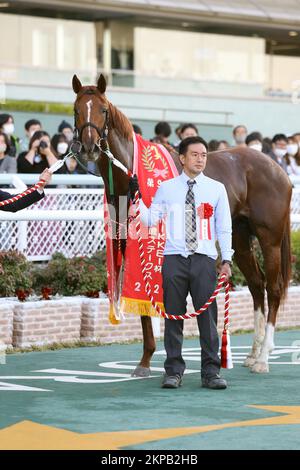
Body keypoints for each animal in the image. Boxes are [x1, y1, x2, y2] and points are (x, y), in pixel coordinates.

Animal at [71, 73, 292, 374]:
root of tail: (278, 169)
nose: (89, 147)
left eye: (103, 110)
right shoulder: (128, 241)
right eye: (76, 109)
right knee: (257, 286)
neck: (130, 176)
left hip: (270, 238)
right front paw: (145, 361)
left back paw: (264, 358)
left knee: (273, 288)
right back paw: (253, 353)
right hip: (239, 237)